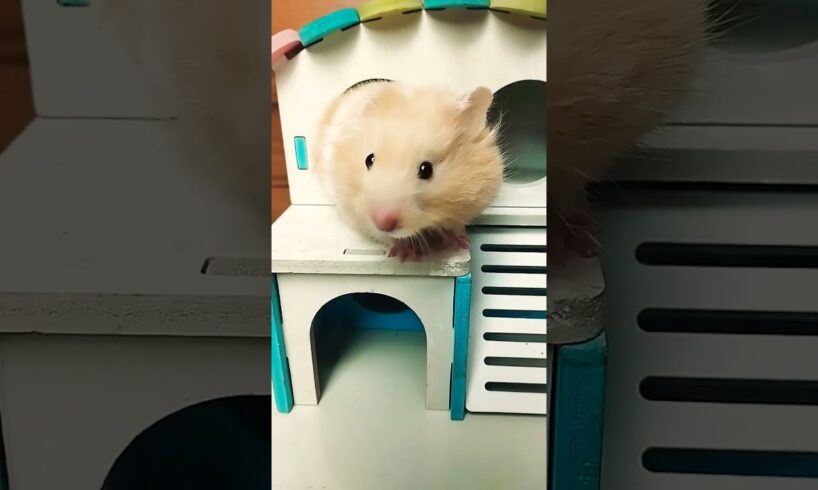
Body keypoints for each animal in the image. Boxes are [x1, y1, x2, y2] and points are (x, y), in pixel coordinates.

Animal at [312, 80, 504, 262]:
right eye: (369, 160)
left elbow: (453, 227)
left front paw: (460, 244)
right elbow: (387, 237)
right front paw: (405, 256)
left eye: (426, 170)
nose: (383, 222)